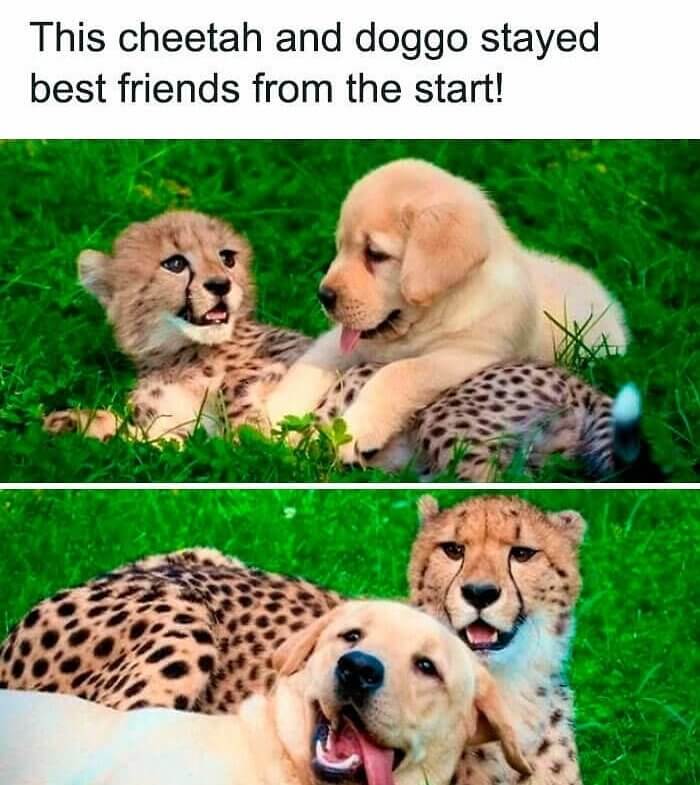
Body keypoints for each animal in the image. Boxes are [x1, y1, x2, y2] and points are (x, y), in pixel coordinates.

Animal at [44, 209, 659, 481]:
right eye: (175, 263)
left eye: (226, 258)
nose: (221, 286)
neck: (179, 352)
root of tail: (577, 382)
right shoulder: (168, 431)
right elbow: (139, 439)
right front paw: (68, 424)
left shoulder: (270, 383)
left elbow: (243, 416)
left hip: (454, 422)